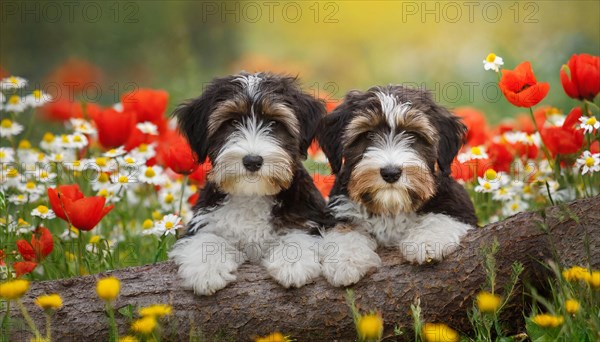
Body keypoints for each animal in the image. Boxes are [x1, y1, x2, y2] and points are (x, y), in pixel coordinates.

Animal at [168, 73, 332, 296]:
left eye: (274, 123)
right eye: (232, 122)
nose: (252, 161)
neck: (252, 195)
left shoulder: (307, 218)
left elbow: (299, 236)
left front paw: (292, 265)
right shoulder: (202, 221)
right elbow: (206, 238)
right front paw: (206, 271)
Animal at [316, 85, 476, 286]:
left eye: (413, 134)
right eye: (368, 134)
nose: (391, 173)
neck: (390, 207)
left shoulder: (458, 204)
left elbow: (441, 216)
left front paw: (427, 241)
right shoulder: (339, 209)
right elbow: (343, 229)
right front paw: (346, 261)